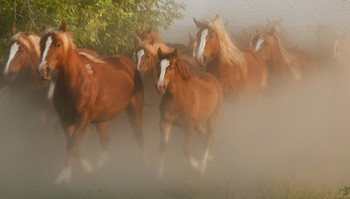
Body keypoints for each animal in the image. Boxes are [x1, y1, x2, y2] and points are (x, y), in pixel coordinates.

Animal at [37, 20, 144, 183]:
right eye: (41, 44)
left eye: (58, 44)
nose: (43, 70)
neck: (75, 82)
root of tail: (130, 64)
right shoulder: (65, 120)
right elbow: (73, 146)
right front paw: (87, 169)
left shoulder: (83, 119)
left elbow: (72, 144)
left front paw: (65, 176)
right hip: (102, 120)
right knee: (105, 143)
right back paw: (101, 169)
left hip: (135, 110)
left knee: (139, 135)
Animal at [157, 47, 223, 176]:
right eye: (158, 66)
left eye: (171, 67)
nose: (160, 86)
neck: (178, 98)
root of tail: (213, 78)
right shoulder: (165, 122)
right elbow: (162, 147)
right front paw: (159, 174)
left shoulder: (189, 125)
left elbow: (186, 149)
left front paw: (196, 165)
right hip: (199, 122)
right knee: (204, 135)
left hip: (212, 116)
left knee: (209, 136)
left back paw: (202, 166)